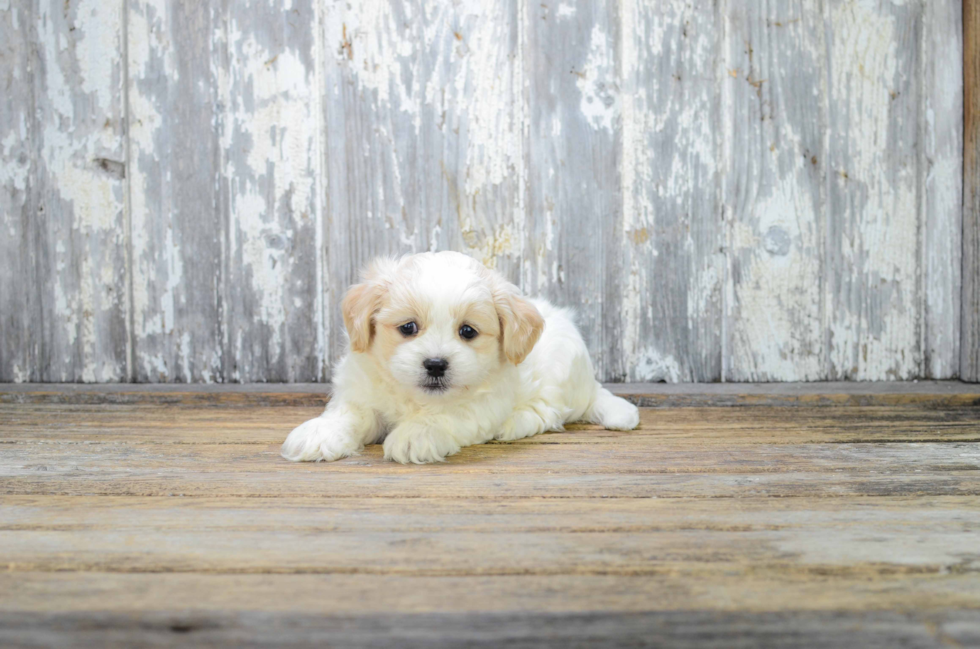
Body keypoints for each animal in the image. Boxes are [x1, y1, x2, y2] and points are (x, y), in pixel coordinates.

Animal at [280, 251, 640, 464]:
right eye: (408, 327)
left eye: (467, 331)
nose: (436, 364)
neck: (413, 397)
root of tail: (590, 383)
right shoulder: (361, 392)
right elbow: (349, 414)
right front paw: (319, 434)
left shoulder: (484, 404)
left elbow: (448, 415)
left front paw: (415, 435)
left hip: (563, 371)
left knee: (549, 412)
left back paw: (513, 424)